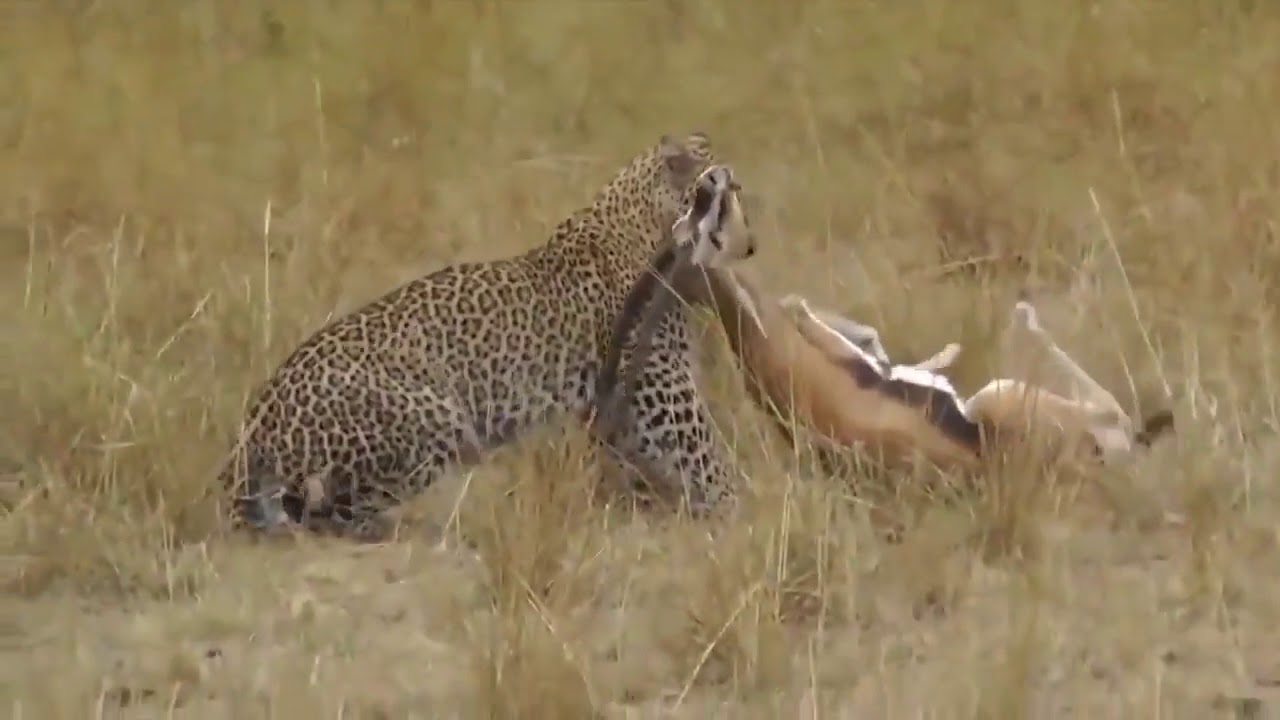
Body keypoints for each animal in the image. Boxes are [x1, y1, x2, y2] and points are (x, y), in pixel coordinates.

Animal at [219, 132, 751, 539]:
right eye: (726, 198)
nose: (751, 247)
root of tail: (252, 429)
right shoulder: (660, 380)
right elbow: (702, 446)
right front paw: (739, 500)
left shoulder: (615, 394)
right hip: (435, 420)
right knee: (337, 513)